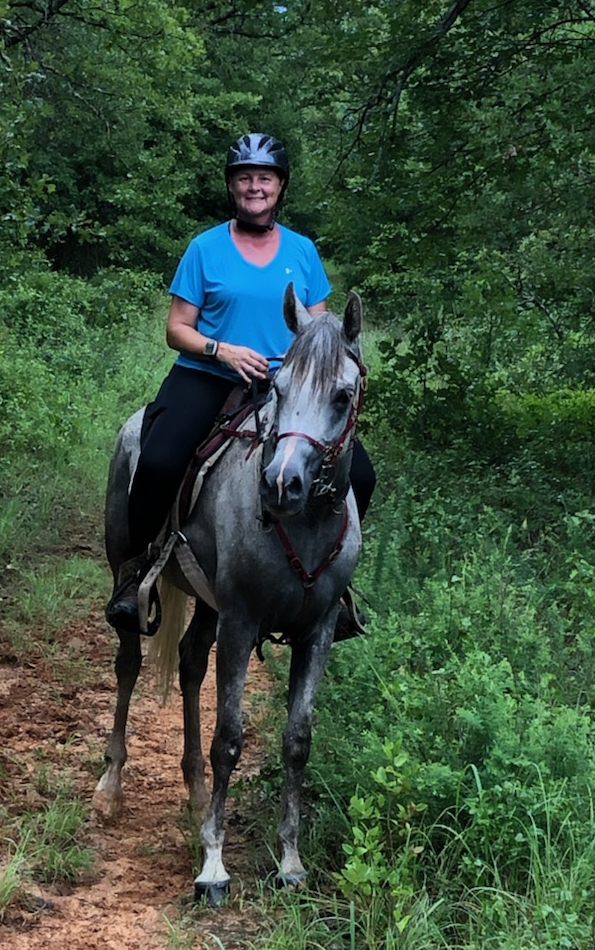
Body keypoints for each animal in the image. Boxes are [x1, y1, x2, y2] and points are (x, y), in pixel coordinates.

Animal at [92, 285, 366, 904]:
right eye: (279, 387)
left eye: (342, 395)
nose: (282, 484)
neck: (303, 524)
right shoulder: (241, 622)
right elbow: (230, 739)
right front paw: (213, 866)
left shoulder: (317, 632)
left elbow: (296, 740)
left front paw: (290, 861)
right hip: (129, 574)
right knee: (128, 664)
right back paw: (111, 785)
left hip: (207, 606)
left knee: (191, 663)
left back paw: (195, 795)